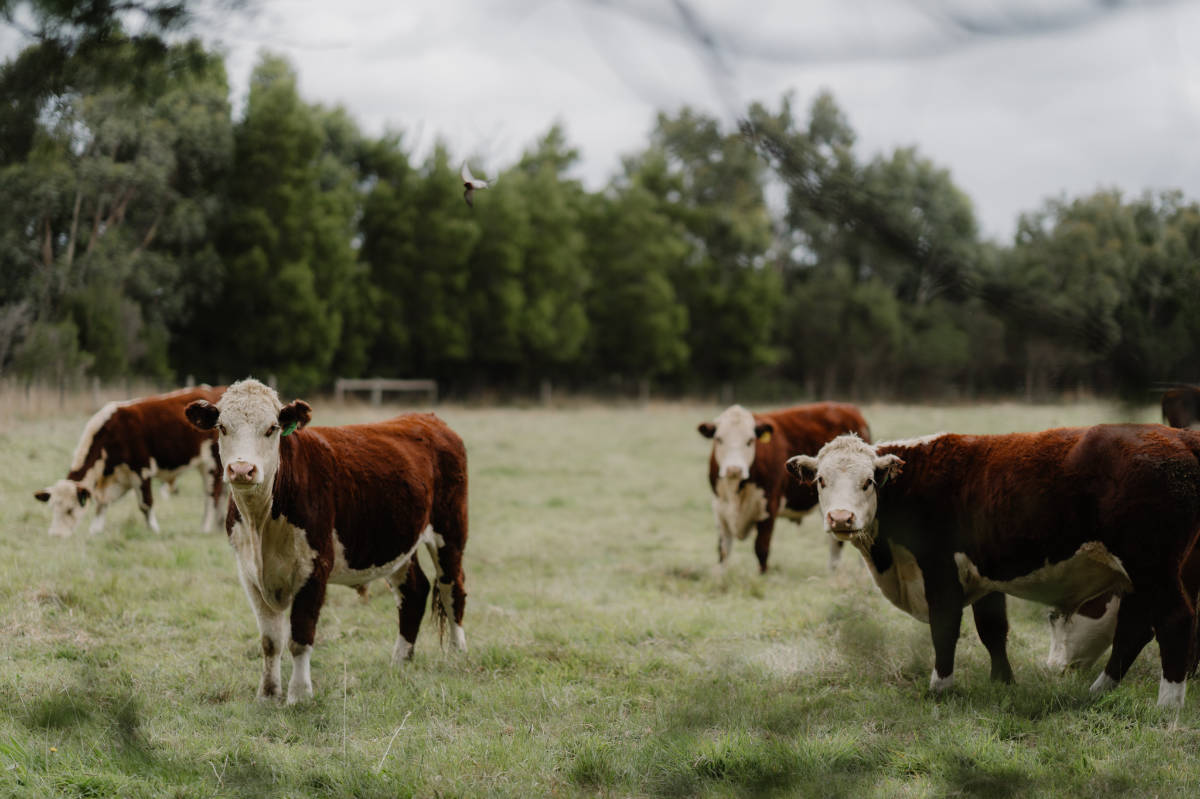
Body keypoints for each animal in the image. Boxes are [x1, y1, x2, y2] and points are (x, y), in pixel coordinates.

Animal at [34, 386, 225, 535]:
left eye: (70, 509)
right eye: (52, 508)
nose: (55, 535)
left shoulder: (141, 470)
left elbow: (146, 504)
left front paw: (153, 530)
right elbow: (101, 505)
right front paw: (95, 530)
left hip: (211, 464)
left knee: (212, 495)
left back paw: (205, 528)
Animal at [183, 376, 468, 700]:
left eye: (272, 428)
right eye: (222, 427)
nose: (242, 469)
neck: (262, 521)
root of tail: (427, 418)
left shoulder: (314, 568)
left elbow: (300, 636)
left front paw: (298, 694)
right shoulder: (249, 573)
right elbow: (270, 641)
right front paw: (267, 694)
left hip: (450, 531)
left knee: (451, 587)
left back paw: (457, 654)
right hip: (397, 543)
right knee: (414, 592)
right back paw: (400, 660)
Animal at [696, 400, 873, 568]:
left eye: (750, 441)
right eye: (719, 439)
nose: (734, 469)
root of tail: (849, 409)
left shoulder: (769, 508)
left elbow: (761, 549)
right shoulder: (720, 509)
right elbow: (723, 552)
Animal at [792, 427, 1200, 705]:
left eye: (868, 482)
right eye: (821, 480)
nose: (840, 518)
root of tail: (1178, 436)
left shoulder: (939, 570)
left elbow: (944, 628)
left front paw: (940, 688)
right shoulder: (983, 578)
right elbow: (993, 632)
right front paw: (1003, 682)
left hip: (1155, 568)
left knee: (1174, 621)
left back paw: (1167, 706)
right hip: (1138, 577)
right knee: (1133, 629)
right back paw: (1098, 691)